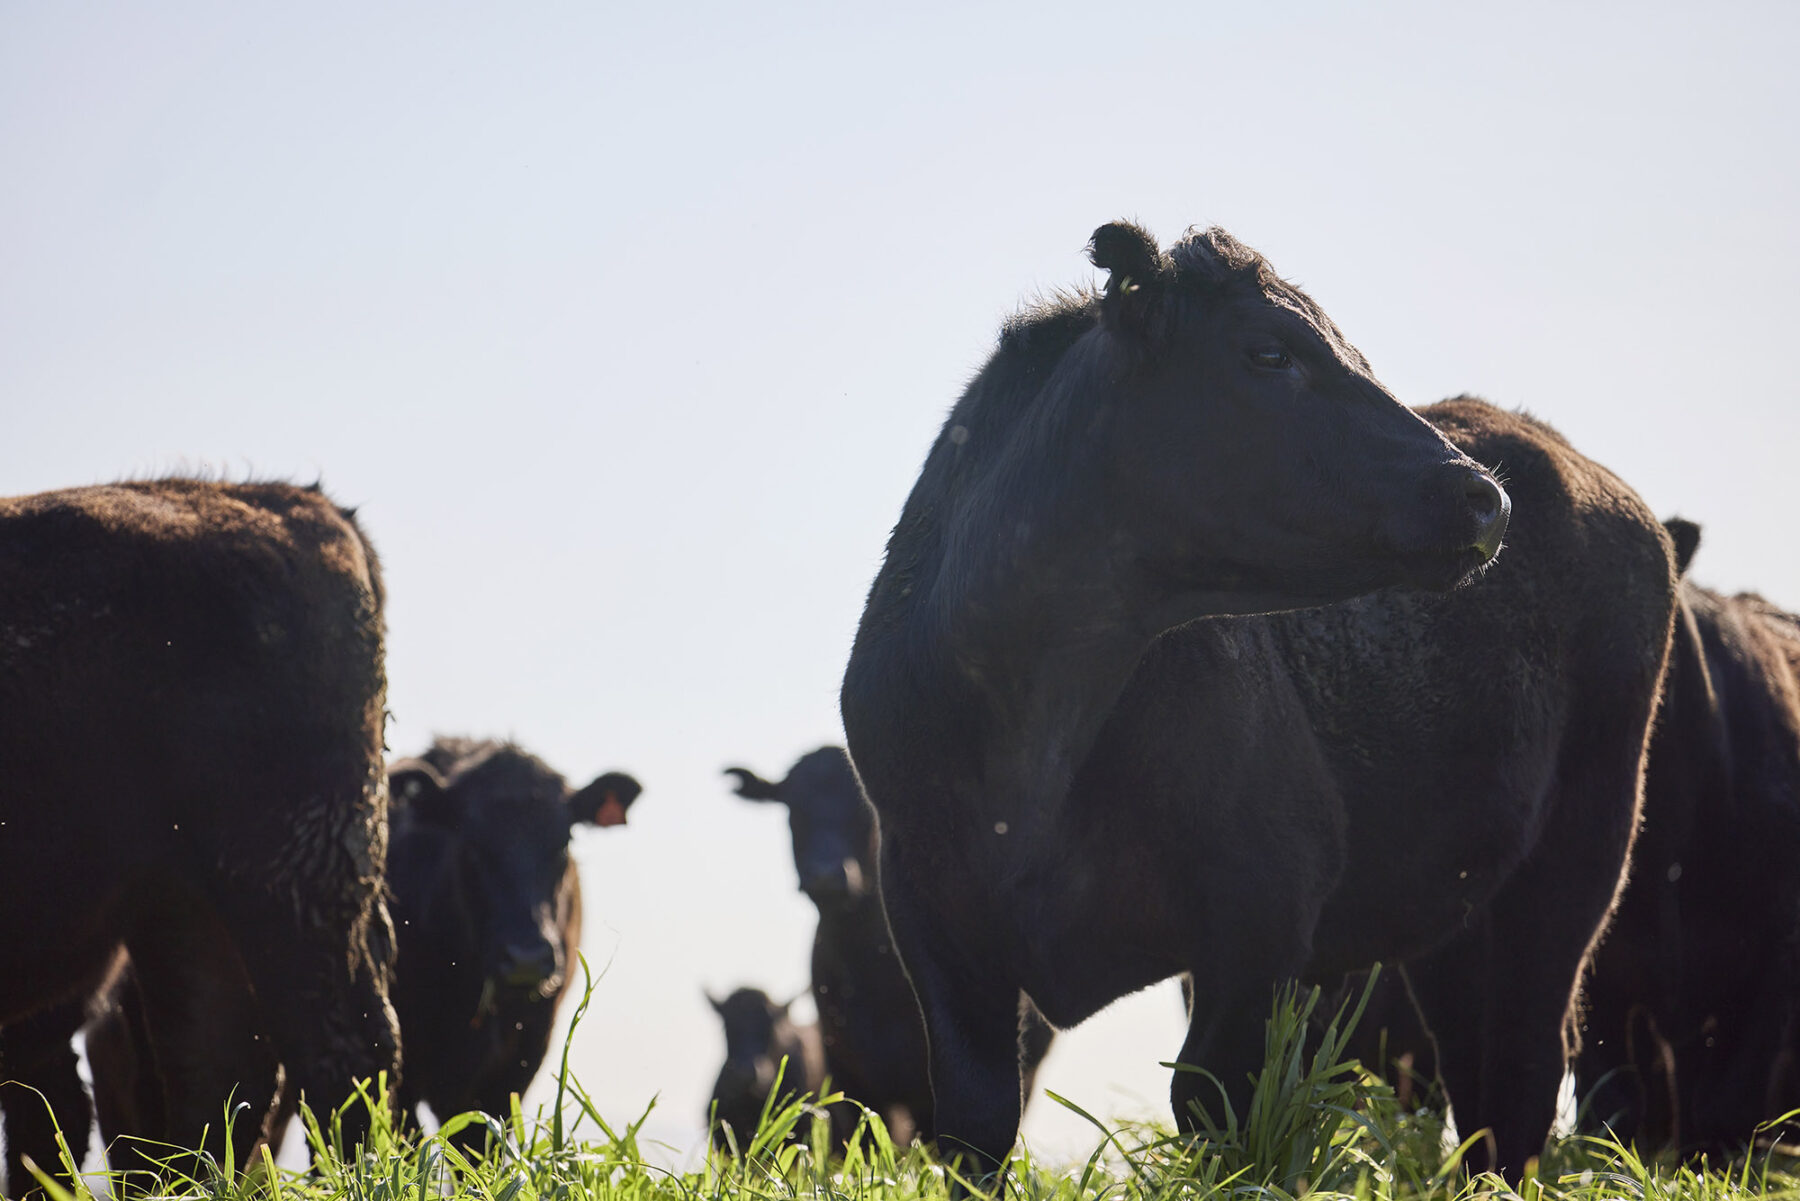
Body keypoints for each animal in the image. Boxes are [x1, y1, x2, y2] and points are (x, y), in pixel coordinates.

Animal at [838, 220, 1670, 1181]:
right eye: (1269, 352)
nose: (1482, 496)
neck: (1033, 730)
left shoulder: (1263, 908)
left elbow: (1217, 1099)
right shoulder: (929, 906)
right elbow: (975, 1117)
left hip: (1579, 856)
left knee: (1524, 1062)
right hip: (1463, 899)